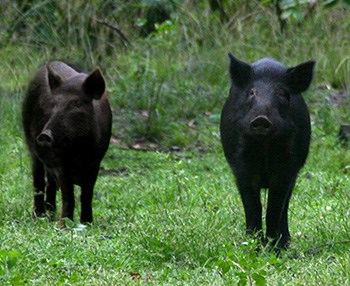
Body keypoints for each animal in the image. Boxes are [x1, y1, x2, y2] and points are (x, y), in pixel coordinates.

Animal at [22, 61, 112, 225]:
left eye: (77, 104)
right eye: (53, 104)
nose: (44, 135)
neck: (80, 148)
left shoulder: (96, 161)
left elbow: (87, 194)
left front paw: (87, 223)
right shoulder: (60, 163)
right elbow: (68, 194)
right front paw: (64, 225)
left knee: (50, 183)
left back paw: (51, 214)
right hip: (31, 146)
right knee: (38, 180)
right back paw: (39, 216)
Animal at [221, 53, 314, 248]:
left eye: (282, 93)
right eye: (252, 92)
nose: (261, 119)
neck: (264, 146)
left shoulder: (288, 167)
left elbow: (275, 206)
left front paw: (275, 247)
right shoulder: (241, 166)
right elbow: (253, 206)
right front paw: (253, 246)